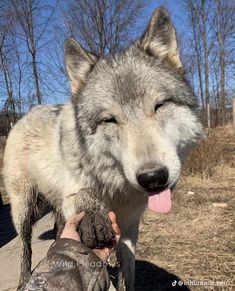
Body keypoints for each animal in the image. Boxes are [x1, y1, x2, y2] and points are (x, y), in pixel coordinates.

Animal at [2, 8, 202, 290]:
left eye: (160, 106)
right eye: (110, 120)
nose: (153, 178)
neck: (116, 187)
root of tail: (26, 113)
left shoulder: (130, 229)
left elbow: (127, 272)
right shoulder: (71, 195)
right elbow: (85, 193)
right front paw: (94, 216)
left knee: (57, 234)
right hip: (24, 209)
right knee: (25, 247)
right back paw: (23, 279)